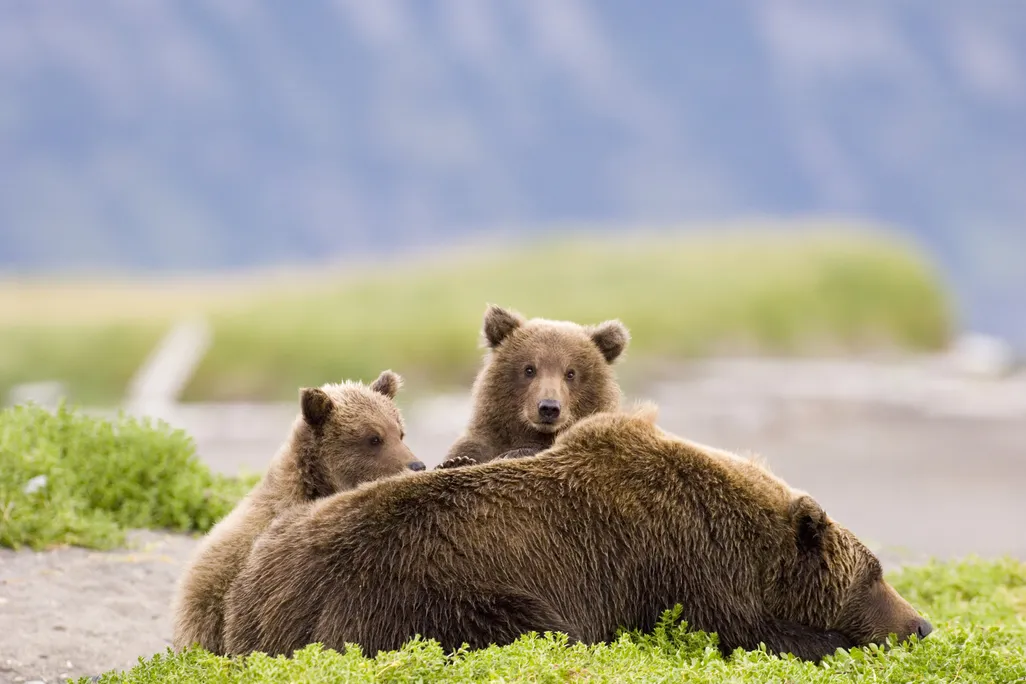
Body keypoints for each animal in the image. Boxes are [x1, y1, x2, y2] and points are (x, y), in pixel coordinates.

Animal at [220, 403, 931, 663]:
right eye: (875, 574)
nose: (922, 625)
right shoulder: (677, 567)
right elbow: (748, 632)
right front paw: (832, 641)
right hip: (427, 591)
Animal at [437, 303, 630, 469]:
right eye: (529, 369)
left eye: (570, 373)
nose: (549, 408)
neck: (534, 434)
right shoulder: (483, 441)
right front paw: (456, 462)